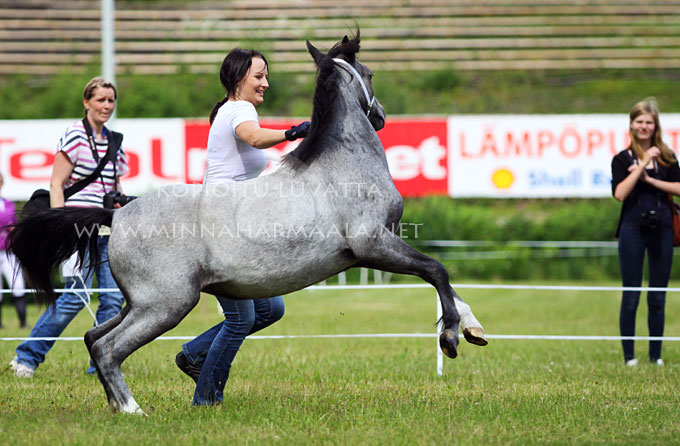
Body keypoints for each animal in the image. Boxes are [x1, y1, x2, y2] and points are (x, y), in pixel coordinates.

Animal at [11, 32, 488, 414]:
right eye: (369, 72)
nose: (382, 115)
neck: (342, 164)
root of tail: (118, 211)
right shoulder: (372, 246)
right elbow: (436, 270)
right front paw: (451, 337)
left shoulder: (376, 250)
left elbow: (442, 277)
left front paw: (472, 328)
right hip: (166, 305)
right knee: (109, 348)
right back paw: (133, 411)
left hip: (139, 303)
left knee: (94, 337)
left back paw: (121, 406)